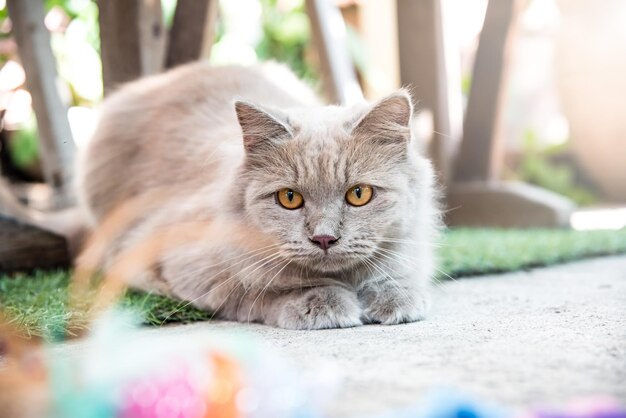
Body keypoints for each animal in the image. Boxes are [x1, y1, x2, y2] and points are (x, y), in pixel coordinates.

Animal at [77, 62, 438, 330]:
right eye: (289, 198)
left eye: (359, 194)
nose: (324, 238)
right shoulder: (189, 265)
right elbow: (265, 293)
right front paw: (324, 304)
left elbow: (392, 274)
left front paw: (397, 299)